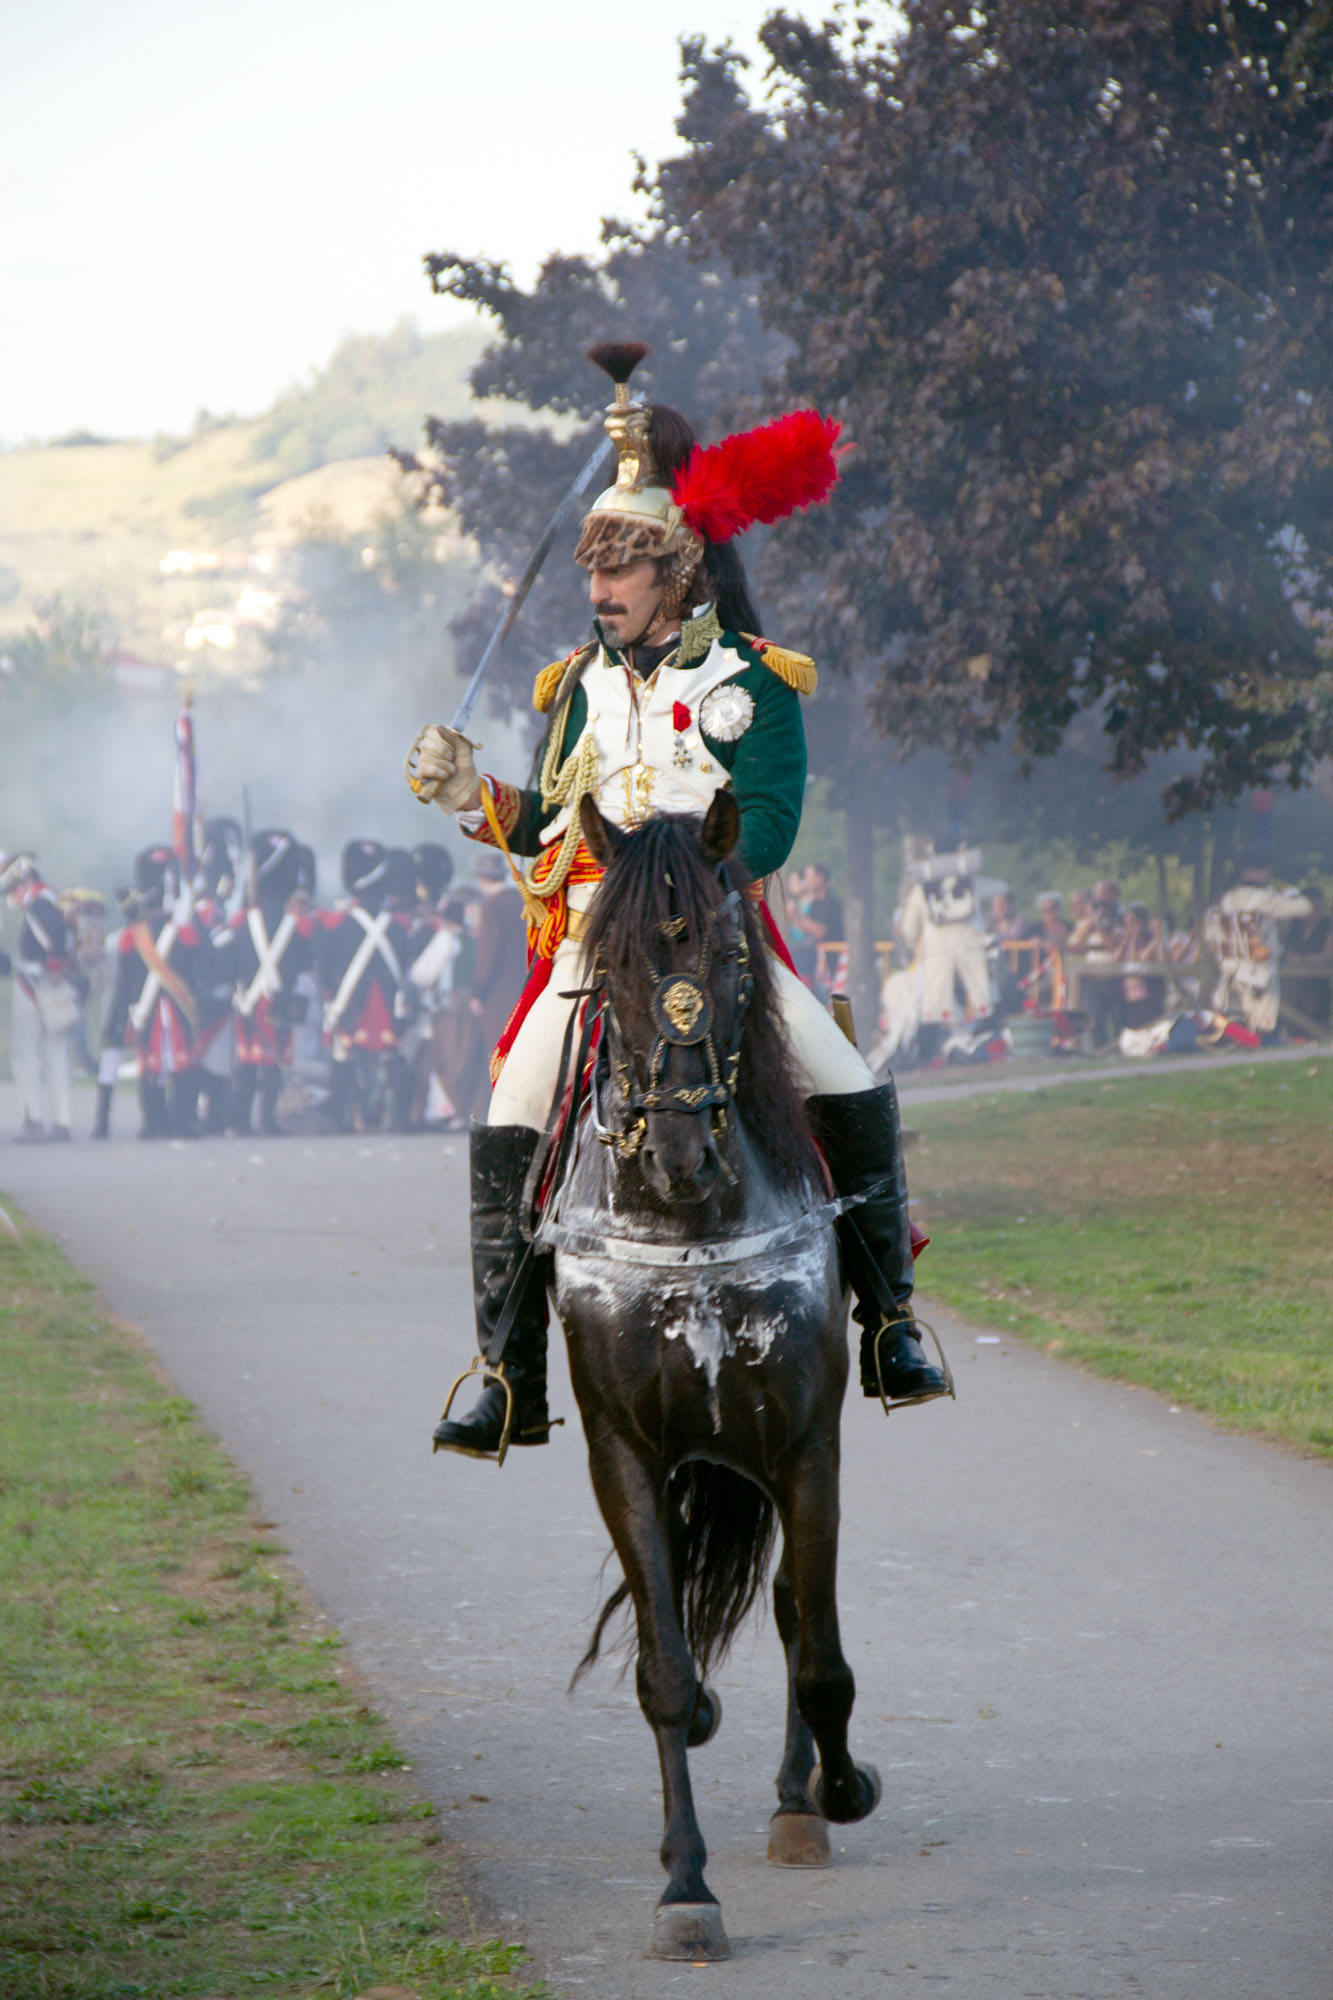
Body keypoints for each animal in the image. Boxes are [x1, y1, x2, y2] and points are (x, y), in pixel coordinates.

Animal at [528, 788, 872, 1960]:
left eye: (726, 955)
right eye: (608, 959)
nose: (678, 1154)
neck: (687, 1228)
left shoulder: (808, 1442)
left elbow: (816, 1650)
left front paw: (836, 1790)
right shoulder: (622, 1451)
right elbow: (665, 1672)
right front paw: (685, 1887)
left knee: (794, 1610)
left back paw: (798, 1796)